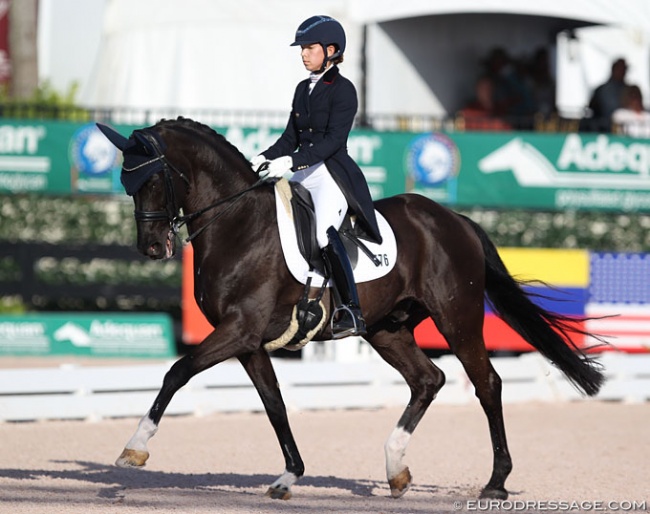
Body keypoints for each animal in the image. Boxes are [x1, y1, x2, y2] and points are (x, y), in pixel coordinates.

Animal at [96, 117, 604, 500]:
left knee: (487, 384)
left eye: (152, 179)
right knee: (428, 380)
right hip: (386, 328)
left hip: (456, 318)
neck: (237, 222)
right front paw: (289, 475)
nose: (151, 247)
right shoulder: (248, 341)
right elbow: (274, 403)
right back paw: (396, 470)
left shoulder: (239, 330)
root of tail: (454, 219)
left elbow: (176, 372)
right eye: (127, 182)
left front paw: (134, 448)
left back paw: (496, 482)